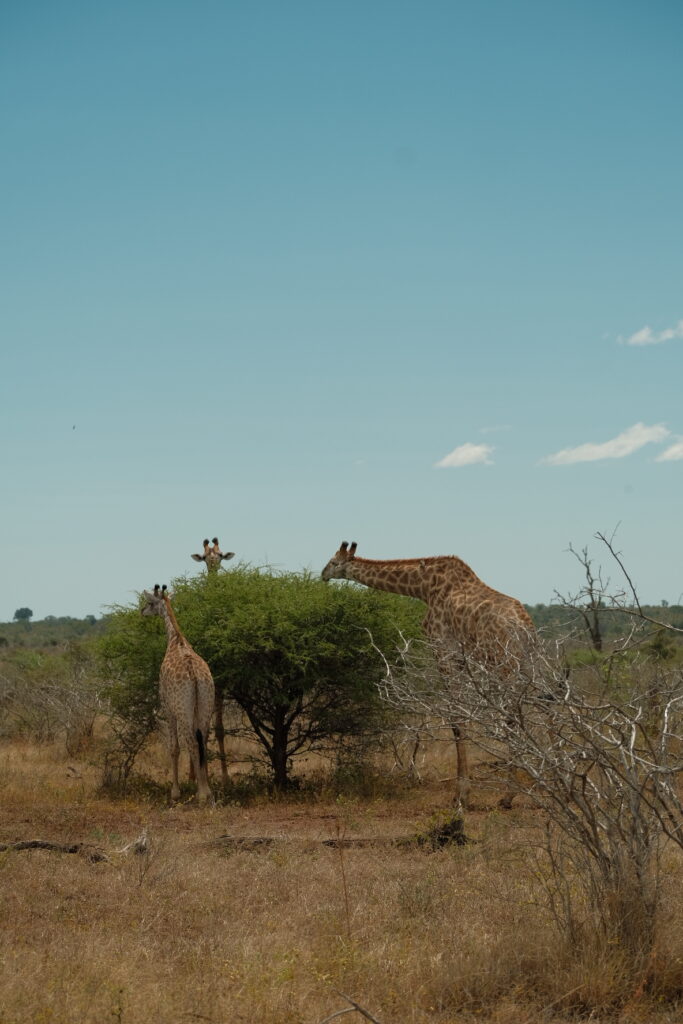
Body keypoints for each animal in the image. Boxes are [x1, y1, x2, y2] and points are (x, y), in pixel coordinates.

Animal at [143, 589, 216, 802]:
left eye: (149, 603)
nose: (142, 611)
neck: (175, 640)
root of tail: (194, 675)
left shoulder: (167, 708)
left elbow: (174, 747)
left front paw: (175, 792)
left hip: (183, 711)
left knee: (191, 742)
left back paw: (202, 794)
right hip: (206, 706)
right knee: (203, 741)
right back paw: (207, 791)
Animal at [323, 540, 536, 811]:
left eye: (332, 562)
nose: (322, 575)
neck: (423, 587)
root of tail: (525, 626)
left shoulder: (443, 650)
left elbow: (457, 720)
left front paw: (461, 796)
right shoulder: (460, 658)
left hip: (504, 664)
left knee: (512, 718)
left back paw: (509, 795)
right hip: (528, 666)